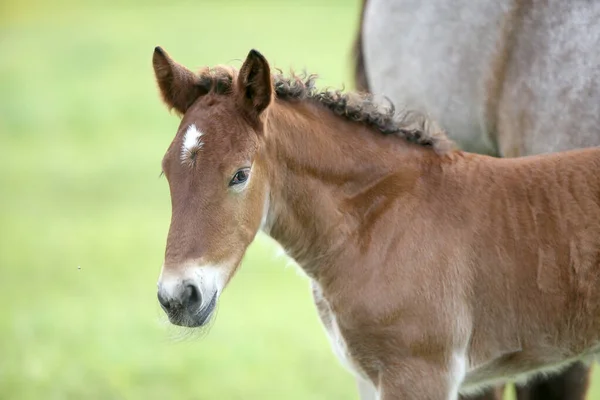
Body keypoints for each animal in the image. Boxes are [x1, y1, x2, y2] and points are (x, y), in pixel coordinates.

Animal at [152, 47, 600, 400]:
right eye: (166, 172)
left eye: (241, 174)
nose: (179, 297)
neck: (376, 222)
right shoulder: (368, 376)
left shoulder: (419, 374)